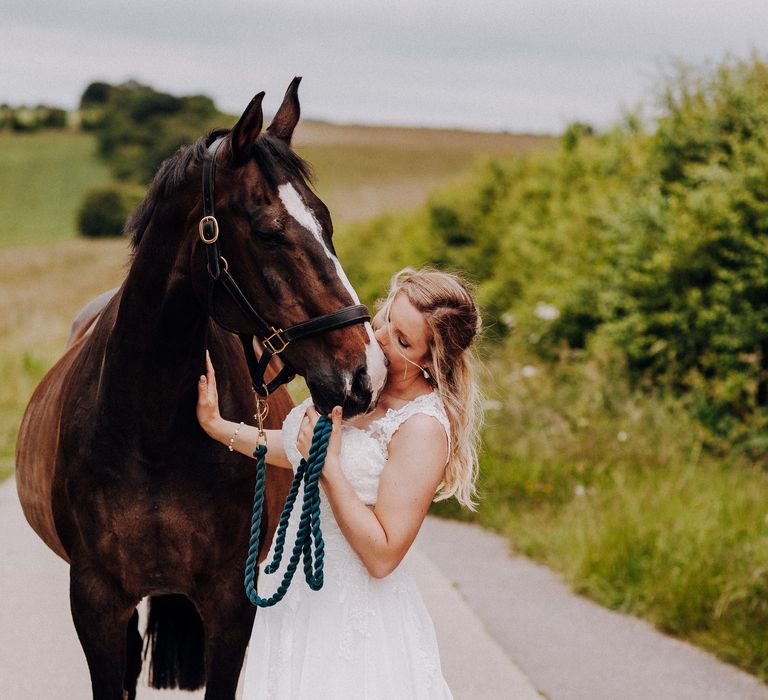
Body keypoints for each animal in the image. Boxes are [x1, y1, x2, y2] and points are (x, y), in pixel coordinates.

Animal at [16, 76, 390, 700]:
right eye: (268, 232)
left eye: (327, 223)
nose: (367, 373)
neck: (149, 432)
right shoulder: (95, 604)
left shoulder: (230, 605)